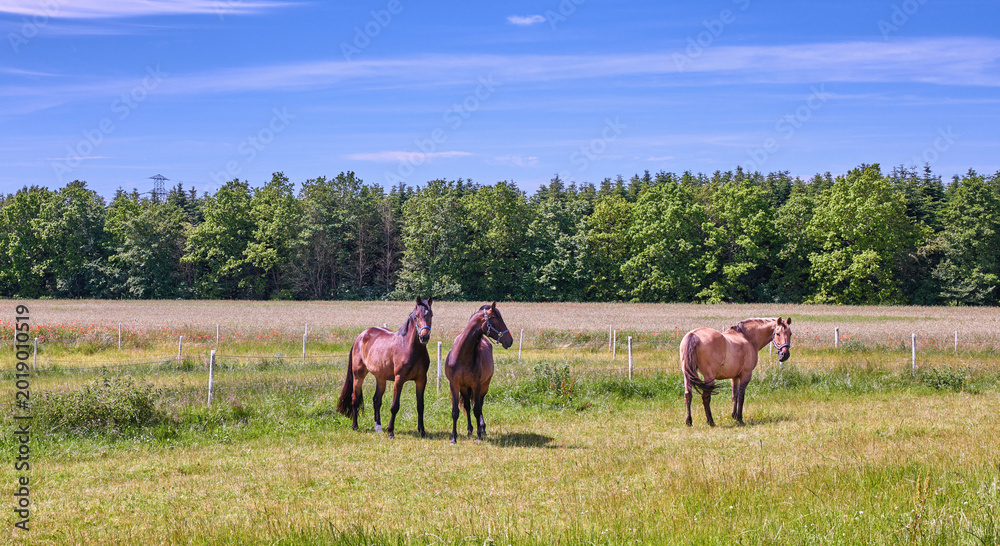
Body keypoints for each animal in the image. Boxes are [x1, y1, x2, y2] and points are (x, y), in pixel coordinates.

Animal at [336, 297, 433, 439]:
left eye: (430, 315)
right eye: (416, 316)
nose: (424, 337)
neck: (410, 348)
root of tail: (361, 336)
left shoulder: (421, 380)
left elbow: (420, 406)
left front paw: (422, 431)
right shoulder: (399, 379)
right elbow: (395, 406)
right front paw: (391, 432)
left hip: (380, 378)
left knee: (376, 400)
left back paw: (378, 427)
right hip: (358, 375)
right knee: (355, 398)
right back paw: (355, 426)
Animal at [444, 302, 513, 444]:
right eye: (497, 319)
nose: (510, 340)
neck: (463, 355)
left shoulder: (477, 385)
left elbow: (477, 410)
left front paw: (479, 436)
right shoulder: (455, 385)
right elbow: (455, 411)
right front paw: (454, 438)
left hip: (484, 385)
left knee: (480, 405)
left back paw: (482, 428)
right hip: (465, 388)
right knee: (467, 406)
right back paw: (470, 429)